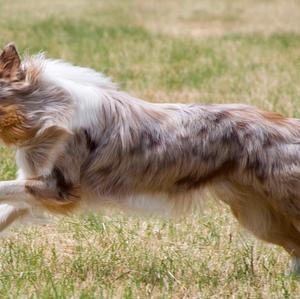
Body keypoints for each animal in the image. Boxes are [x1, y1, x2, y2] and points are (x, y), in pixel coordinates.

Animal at [0, 43, 300, 276]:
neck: (42, 109)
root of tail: (291, 126)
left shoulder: (57, 187)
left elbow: (4, 189)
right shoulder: (36, 185)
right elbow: (6, 211)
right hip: (257, 215)